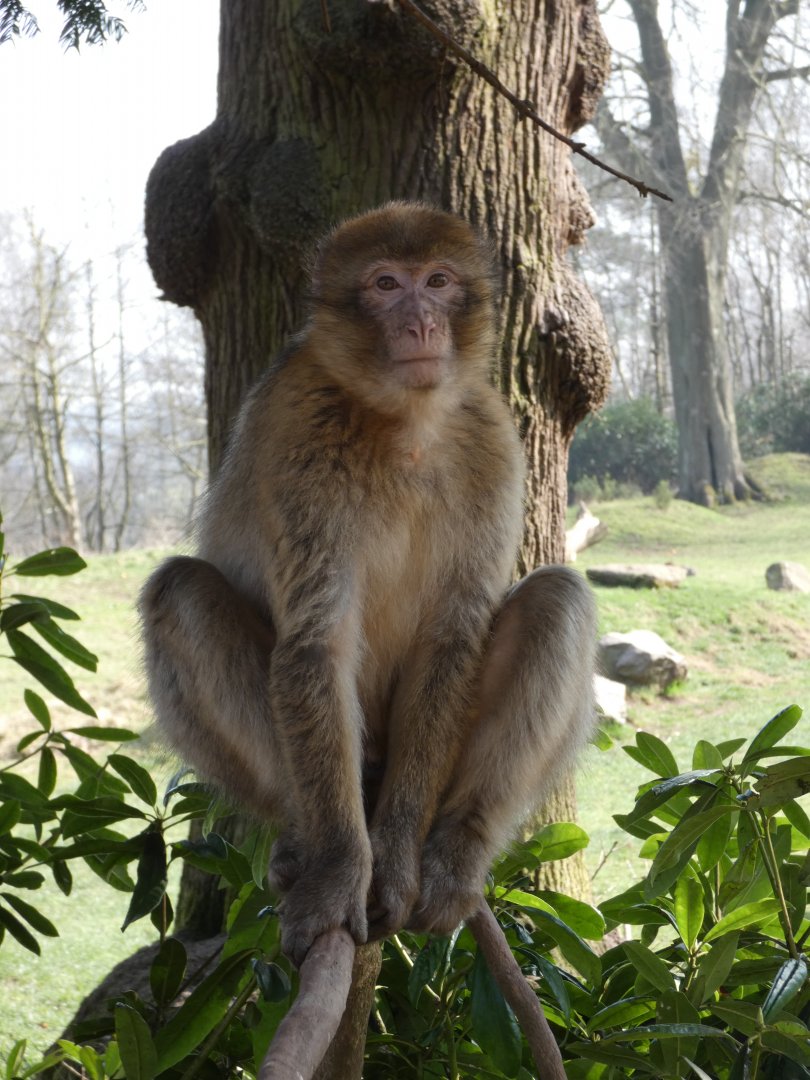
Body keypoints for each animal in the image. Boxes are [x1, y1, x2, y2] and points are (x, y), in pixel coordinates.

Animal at [140, 202, 596, 968]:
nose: (421, 324)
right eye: (386, 285)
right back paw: (304, 839)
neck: (404, 421)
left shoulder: (492, 441)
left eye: (437, 281)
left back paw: (457, 849)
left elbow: (451, 639)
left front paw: (399, 859)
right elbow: (316, 641)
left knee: (557, 601)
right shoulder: (299, 428)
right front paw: (342, 871)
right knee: (180, 592)